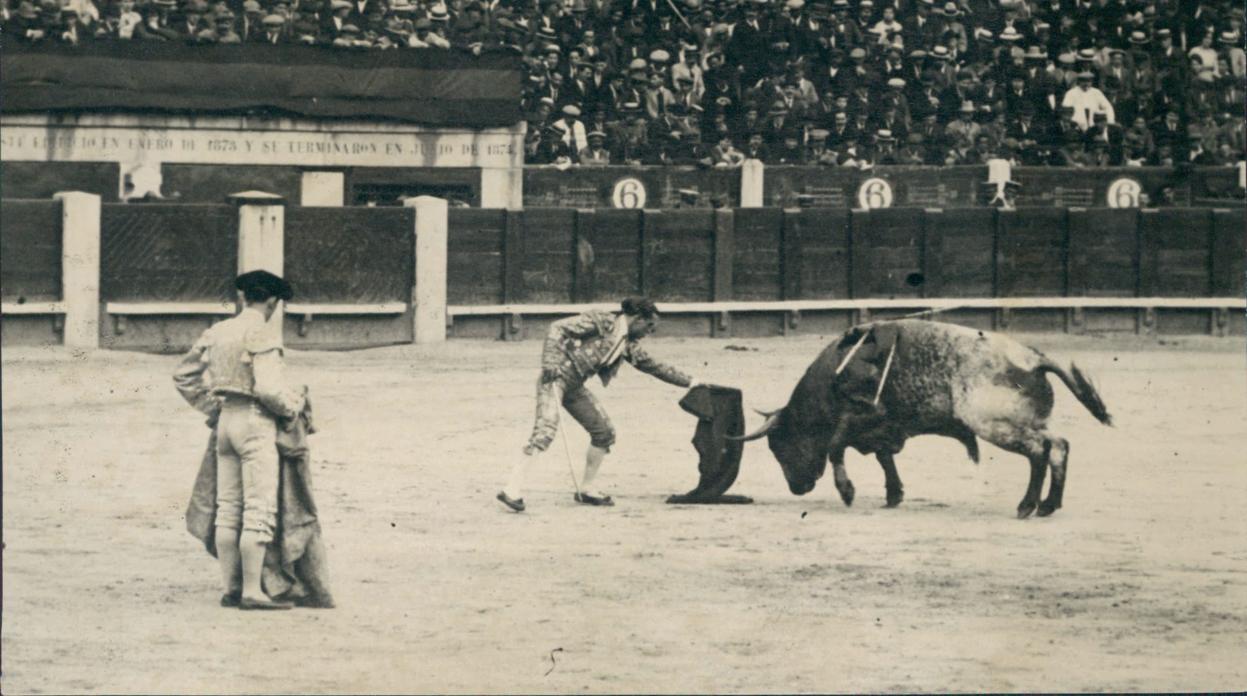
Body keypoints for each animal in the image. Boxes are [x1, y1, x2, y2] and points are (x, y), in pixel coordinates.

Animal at [733, 321, 1117, 518]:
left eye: (779, 446)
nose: (797, 488)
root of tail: (1034, 359)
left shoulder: (864, 415)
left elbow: (835, 446)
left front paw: (847, 492)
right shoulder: (885, 427)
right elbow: (883, 457)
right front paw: (893, 494)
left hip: (994, 424)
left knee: (1039, 452)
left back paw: (1027, 506)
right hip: (1025, 422)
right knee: (1059, 446)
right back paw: (1049, 505)